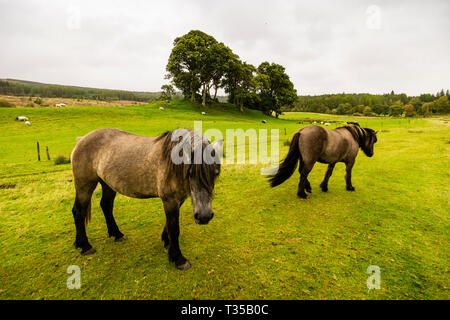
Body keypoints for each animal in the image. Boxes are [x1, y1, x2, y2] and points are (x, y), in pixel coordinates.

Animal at [70, 127, 221, 270]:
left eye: (215, 173)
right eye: (190, 172)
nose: (204, 217)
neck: (172, 164)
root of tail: (82, 139)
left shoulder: (178, 200)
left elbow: (168, 224)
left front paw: (166, 242)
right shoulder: (170, 200)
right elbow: (174, 228)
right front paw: (178, 259)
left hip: (107, 184)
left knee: (106, 206)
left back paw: (117, 234)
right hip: (85, 186)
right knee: (79, 212)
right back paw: (85, 246)